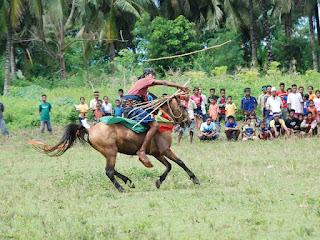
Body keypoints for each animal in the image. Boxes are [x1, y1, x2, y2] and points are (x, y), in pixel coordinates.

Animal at [32, 96, 201, 192]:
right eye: (182, 106)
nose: (189, 120)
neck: (162, 122)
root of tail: (90, 128)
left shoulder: (157, 153)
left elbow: (169, 166)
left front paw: (159, 181)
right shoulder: (165, 150)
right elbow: (180, 162)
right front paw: (195, 178)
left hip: (109, 153)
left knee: (111, 170)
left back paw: (128, 181)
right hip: (111, 152)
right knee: (109, 172)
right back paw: (121, 187)